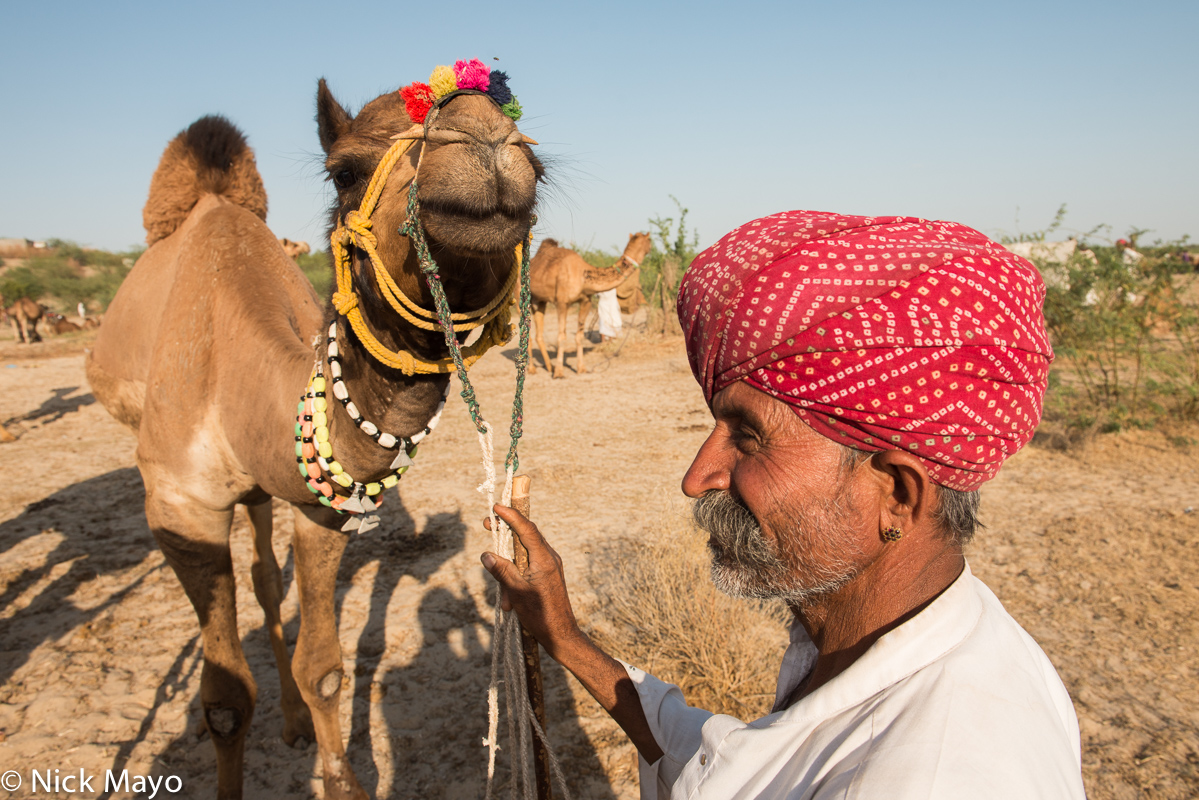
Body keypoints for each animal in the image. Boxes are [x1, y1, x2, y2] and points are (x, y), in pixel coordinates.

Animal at [87, 82, 544, 800]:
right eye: (344, 171)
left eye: (537, 161)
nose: (484, 135)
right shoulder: (179, 510)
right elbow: (224, 699)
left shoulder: (320, 509)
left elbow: (325, 668)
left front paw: (334, 765)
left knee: (266, 578)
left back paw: (295, 724)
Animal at [529, 231, 652, 379]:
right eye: (649, 241)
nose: (652, 248)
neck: (582, 275)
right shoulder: (562, 302)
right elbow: (562, 337)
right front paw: (559, 373)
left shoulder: (585, 301)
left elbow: (580, 336)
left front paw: (581, 368)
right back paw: (532, 369)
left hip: (540, 300)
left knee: (538, 332)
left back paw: (549, 367)